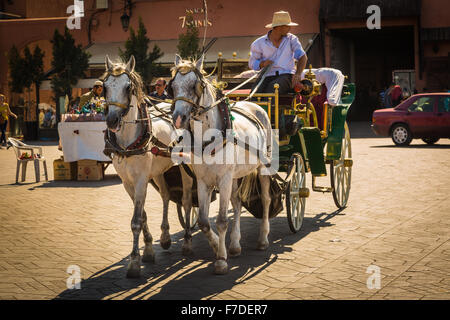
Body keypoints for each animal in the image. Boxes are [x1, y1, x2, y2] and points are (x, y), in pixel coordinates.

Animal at [103, 55, 195, 278]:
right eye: (105, 87)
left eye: (128, 87)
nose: (112, 120)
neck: (128, 143)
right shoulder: (128, 182)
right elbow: (143, 216)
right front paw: (149, 250)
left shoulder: (141, 181)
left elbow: (136, 221)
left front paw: (134, 262)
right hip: (160, 171)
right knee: (166, 196)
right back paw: (166, 236)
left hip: (185, 169)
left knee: (187, 201)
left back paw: (187, 242)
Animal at [170, 55, 272, 276]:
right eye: (172, 86)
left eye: (195, 85)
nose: (178, 118)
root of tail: (255, 105)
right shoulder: (203, 181)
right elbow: (203, 221)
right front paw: (218, 246)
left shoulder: (223, 179)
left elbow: (222, 221)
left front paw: (221, 261)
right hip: (234, 176)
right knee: (237, 202)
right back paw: (234, 244)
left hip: (263, 167)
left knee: (266, 200)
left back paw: (263, 239)